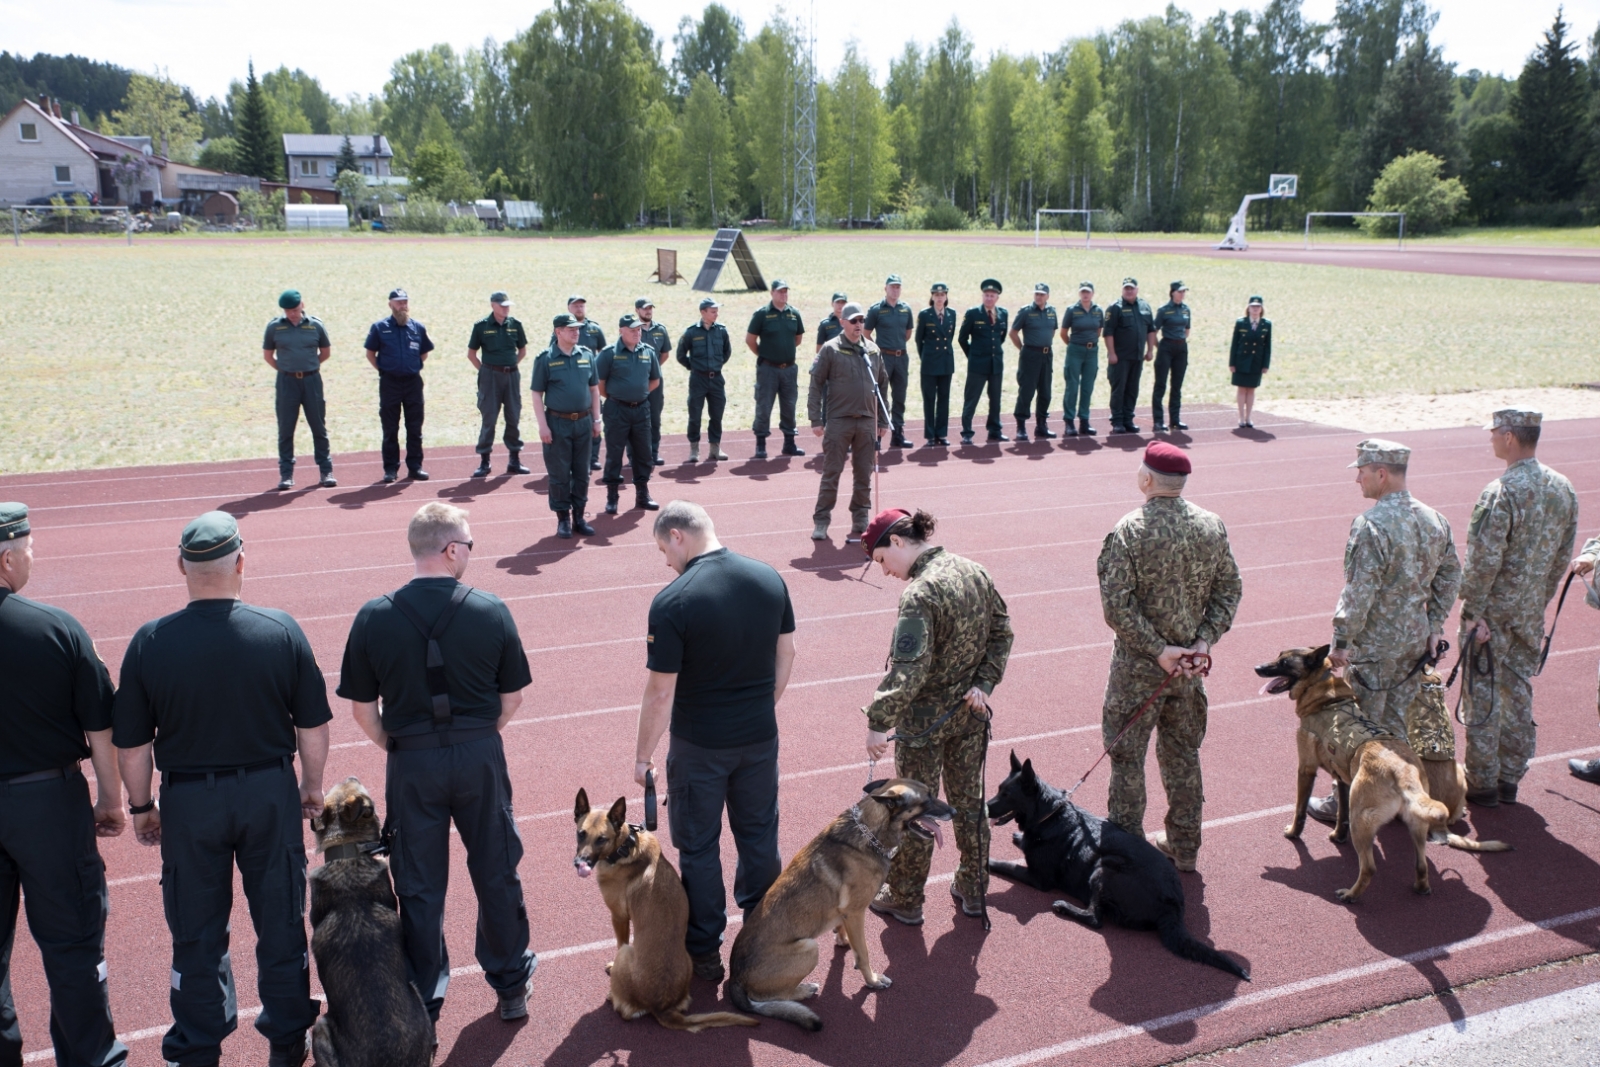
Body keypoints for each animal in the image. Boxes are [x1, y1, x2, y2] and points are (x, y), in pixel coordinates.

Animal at [569, 790, 755, 1030]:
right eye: (580, 834)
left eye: (602, 839)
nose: (579, 863)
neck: (624, 846)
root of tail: (661, 1008)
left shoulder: (619, 917)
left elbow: (619, 940)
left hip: (626, 953)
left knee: (625, 1009)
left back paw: (613, 995)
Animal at [729, 780, 960, 1030]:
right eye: (926, 800)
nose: (955, 812)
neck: (869, 831)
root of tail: (734, 978)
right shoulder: (856, 913)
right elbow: (864, 953)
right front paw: (872, 980)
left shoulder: (846, 913)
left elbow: (844, 930)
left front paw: (842, 940)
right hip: (809, 947)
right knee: (769, 996)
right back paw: (803, 990)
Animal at [985, 755, 1248, 979]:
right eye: (998, 789)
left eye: (1007, 794)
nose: (985, 807)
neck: (1049, 814)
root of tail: (1173, 908)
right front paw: (1019, 838)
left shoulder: (1037, 878)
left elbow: (1006, 865)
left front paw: (988, 863)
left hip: (1104, 868)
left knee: (1095, 918)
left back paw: (1064, 907)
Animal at [1254, 646, 1504, 908]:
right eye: (1278, 656)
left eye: (1284, 663)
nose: (1257, 668)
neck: (1321, 689)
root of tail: (1403, 773)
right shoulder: (1343, 779)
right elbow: (1341, 813)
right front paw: (1337, 836)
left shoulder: (1305, 769)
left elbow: (1300, 810)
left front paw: (1293, 833)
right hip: (1415, 825)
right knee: (1421, 863)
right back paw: (1420, 887)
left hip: (1361, 822)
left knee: (1370, 868)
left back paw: (1351, 895)